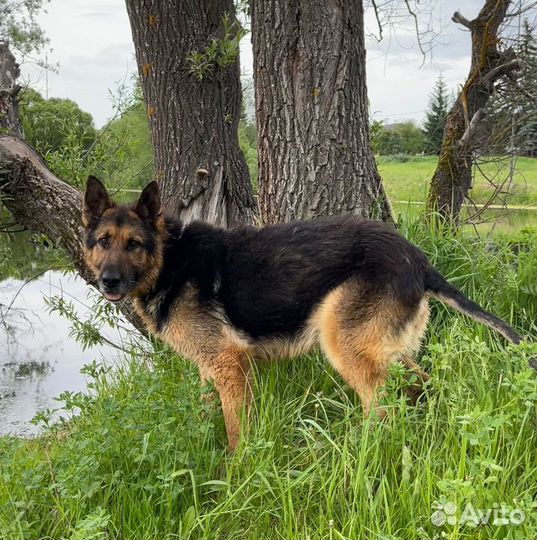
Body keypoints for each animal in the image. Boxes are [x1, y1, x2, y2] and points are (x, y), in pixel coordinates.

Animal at [82, 178, 524, 452]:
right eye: (103, 241)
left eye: (133, 244)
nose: (109, 282)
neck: (168, 259)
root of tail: (419, 261)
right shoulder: (211, 368)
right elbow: (208, 410)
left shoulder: (229, 365)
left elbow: (235, 429)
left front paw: (234, 473)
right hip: (386, 351)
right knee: (420, 385)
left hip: (344, 344)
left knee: (383, 409)